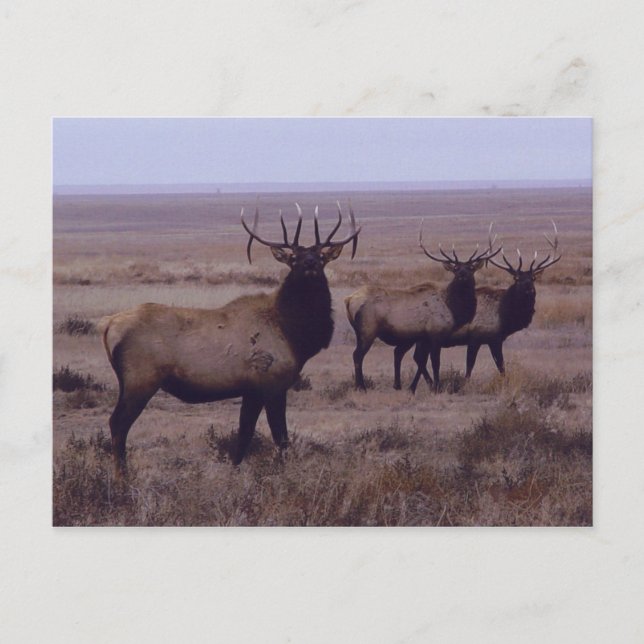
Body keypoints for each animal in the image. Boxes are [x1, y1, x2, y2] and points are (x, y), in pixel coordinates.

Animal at [100, 202, 360, 475]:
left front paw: (234, 471)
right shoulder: (273, 383)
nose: (309, 263)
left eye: (321, 257)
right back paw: (122, 476)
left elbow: (244, 434)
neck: (294, 334)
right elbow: (281, 437)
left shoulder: (252, 390)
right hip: (140, 380)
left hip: (129, 381)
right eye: (293, 258)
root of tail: (108, 325)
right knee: (118, 423)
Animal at [344, 221, 500, 392]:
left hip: (361, 332)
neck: (453, 308)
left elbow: (422, 361)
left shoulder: (424, 337)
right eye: (455, 268)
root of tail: (349, 300)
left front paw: (416, 387)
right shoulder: (436, 333)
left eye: (471, 268)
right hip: (368, 330)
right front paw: (437, 387)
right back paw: (361, 387)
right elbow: (435, 363)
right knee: (357, 355)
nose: (462, 276)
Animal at [404, 222, 561, 392]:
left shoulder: (494, 339)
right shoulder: (478, 337)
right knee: (419, 357)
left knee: (418, 357)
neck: (504, 315)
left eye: (533, 278)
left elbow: (500, 367)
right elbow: (474, 366)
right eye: (516, 278)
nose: (528, 289)